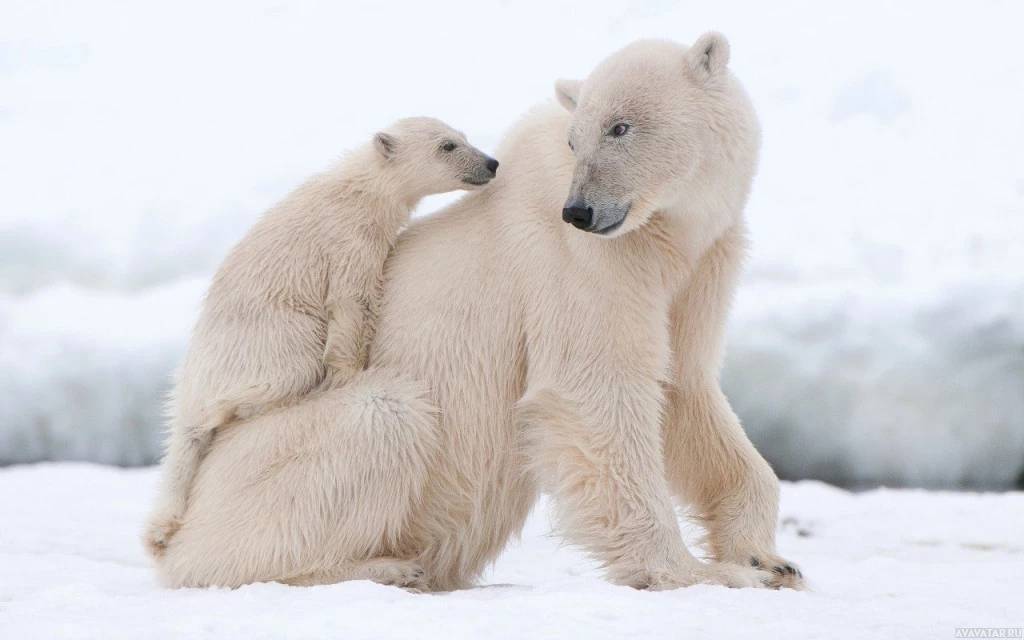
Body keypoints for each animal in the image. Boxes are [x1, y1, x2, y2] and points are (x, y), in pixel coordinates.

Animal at [141, 117, 499, 557]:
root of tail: (191, 385)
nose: (491, 162)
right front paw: (350, 373)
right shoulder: (348, 241)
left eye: (464, 137)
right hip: (268, 339)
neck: (360, 190)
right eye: (447, 145)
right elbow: (351, 302)